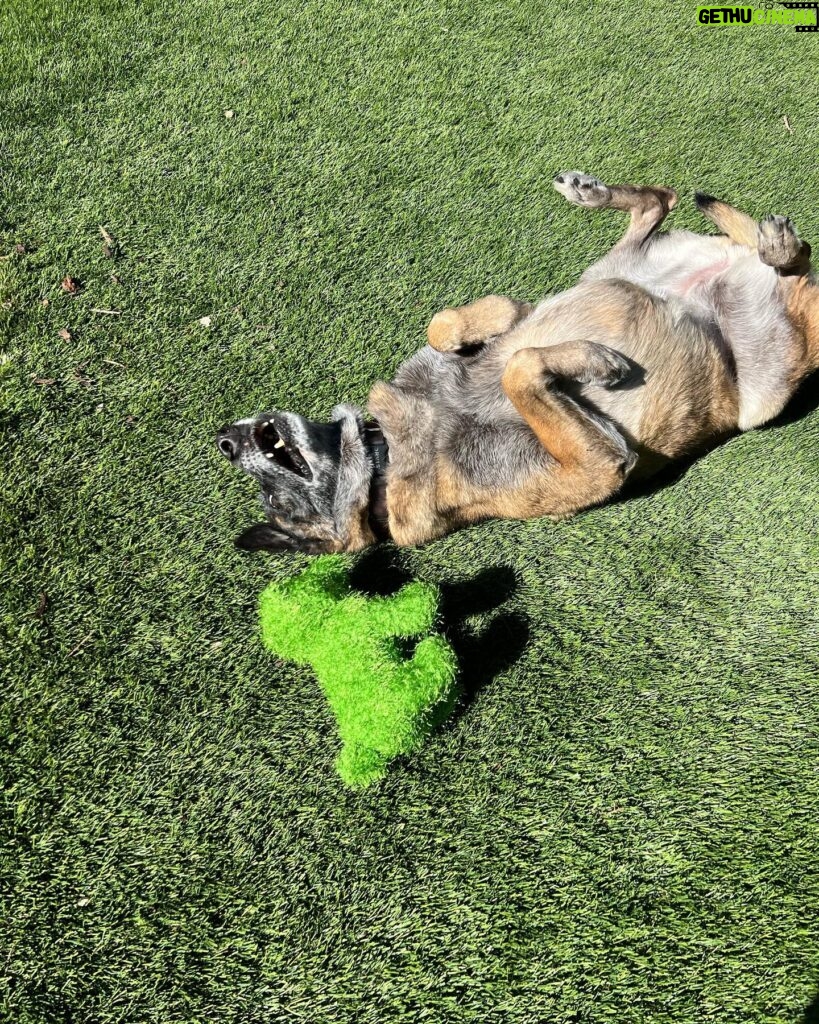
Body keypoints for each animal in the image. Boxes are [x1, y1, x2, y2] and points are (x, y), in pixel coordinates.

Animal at [213, 172, 814, 552]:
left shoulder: (499, 322)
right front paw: (591, 361)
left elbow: (458, 324)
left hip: (609, 270)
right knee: (791, 269)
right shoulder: (594, 466)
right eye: (279, 505)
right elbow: (519, 369)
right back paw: (778, 250)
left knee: (660, 202)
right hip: (762, 393)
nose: (225, 439)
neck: (391, 451)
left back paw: (595, 193)